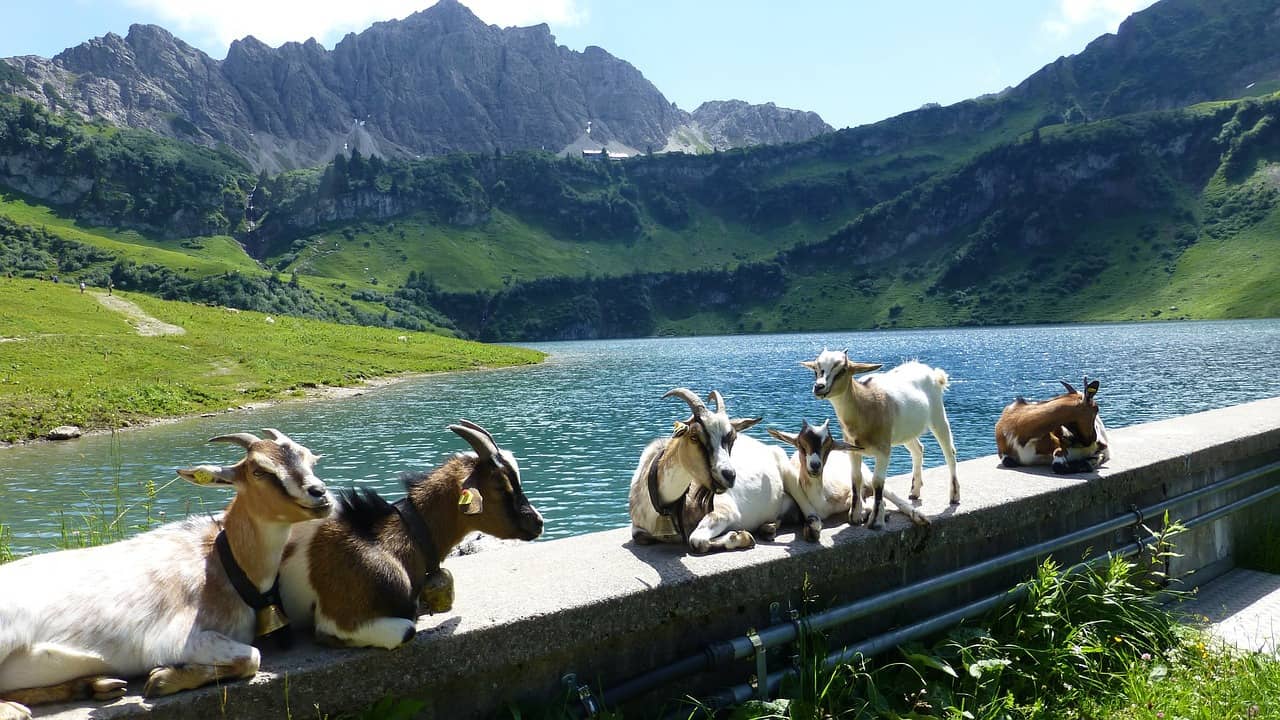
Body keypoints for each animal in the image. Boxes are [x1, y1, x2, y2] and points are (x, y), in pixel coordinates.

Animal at [0, 425, 335, 717]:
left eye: (310, 459)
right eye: (259, 470)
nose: (320, 494)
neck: (221, 562)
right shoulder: (175, 638)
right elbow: (252, 657)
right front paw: (164, 679)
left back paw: (96, 685)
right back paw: (19, 710)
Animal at [627, 386, 793, 548]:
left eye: (733, 438)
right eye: (694, 437)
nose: (729, 475)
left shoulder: (724, 511)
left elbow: (696, 540)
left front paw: (742, 536)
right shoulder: (638, 527)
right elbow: (641, 537)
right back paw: (768, 527)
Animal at [762, 415, 926, 538]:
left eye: (828, 446)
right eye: (800, 445)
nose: (815, 465)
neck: (822, 501)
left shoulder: (849, 492)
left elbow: (862, 505)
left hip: (867, 476)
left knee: (892, 496)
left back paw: (919, 516)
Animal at [803, 351, 957, 530]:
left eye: (842, 370)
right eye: (816, 370)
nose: (819, 387)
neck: (864, 403)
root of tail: (933, 373)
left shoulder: (884, 449)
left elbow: (877, 482)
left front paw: (876, 521)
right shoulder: (852, 448)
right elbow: (855, 477)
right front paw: (855, 517)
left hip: (937, 414)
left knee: (949, 452)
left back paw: (954, 496)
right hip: (905, 431)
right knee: (918, 449)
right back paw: (914, 491)